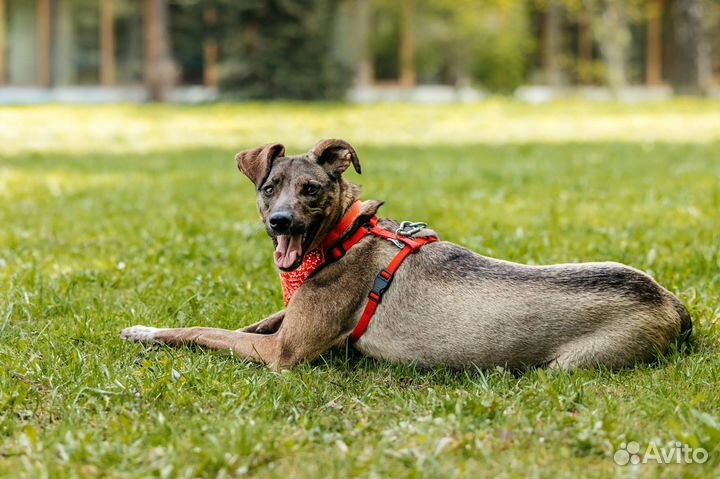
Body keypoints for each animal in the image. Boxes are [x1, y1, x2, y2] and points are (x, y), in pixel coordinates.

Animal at [119, 139, 692, 372]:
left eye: (311, 190)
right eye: (268, 188)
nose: (280, 222)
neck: (345, 236)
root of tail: (670, 303)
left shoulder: (284, 354)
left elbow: (204, 331)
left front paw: (151, 332)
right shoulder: (288, 321)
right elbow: (249, 321)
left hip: (571, 365)